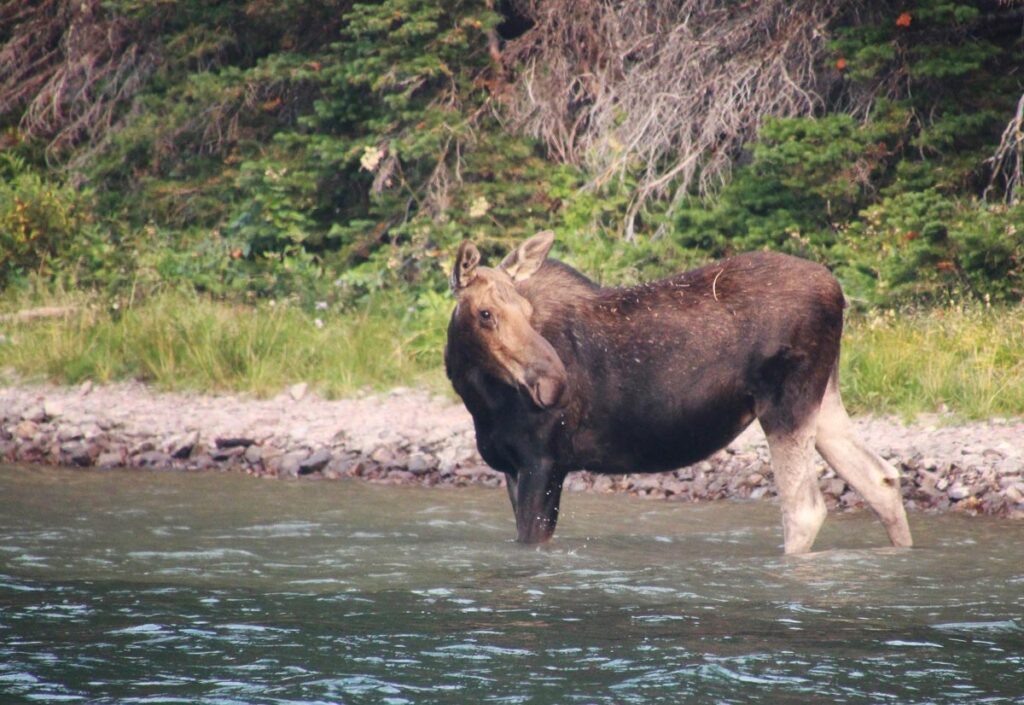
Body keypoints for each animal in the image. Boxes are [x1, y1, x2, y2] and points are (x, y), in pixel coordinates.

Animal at [444, 233, 917, 553]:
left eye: (526, 312)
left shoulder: (544, 461)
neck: (480, 400)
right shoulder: (511, 466)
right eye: (485, 313)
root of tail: (840, 295)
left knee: (805, 508)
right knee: (881, 478)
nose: (553, 383)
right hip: (824, 398)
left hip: (787, 402)